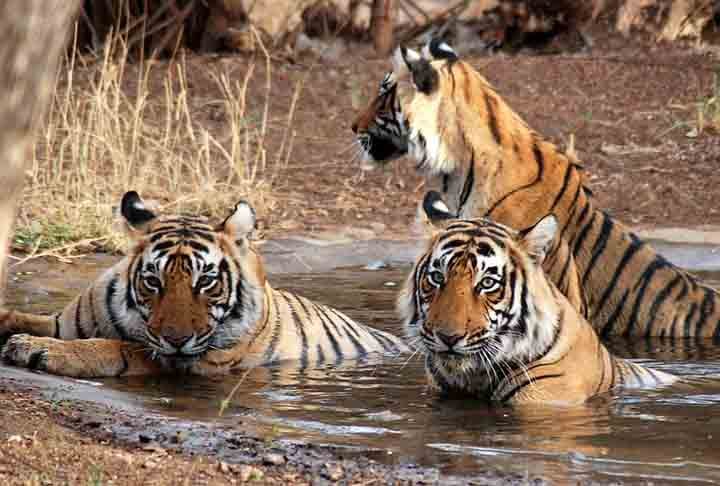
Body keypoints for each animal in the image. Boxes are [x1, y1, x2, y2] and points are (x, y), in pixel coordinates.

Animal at [0, 190, 408, 376]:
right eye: (153, 281)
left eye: (207, 282)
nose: (177, 340)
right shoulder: (63, 322)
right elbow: (21, 316)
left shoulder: (190, 361)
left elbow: (115, 347)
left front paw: (36, 348)